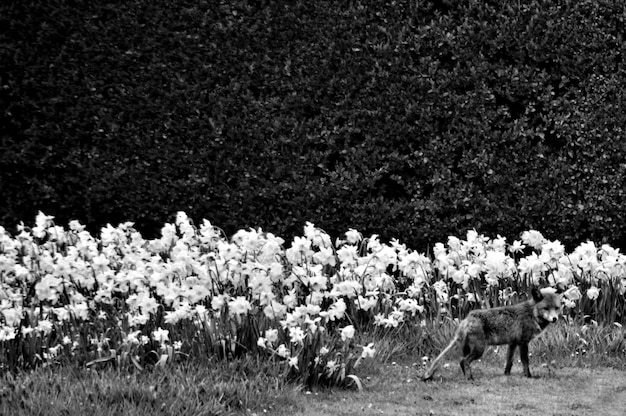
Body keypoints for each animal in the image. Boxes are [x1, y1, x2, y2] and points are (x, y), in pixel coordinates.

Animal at [422, 286, 560, 380]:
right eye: (546, 308)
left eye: (557, 308)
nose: (555, 319)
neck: (531, 313)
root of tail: (468, 318)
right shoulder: (523, 342)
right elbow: (525, 362)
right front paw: (528, 376)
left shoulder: (513, 343)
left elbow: (509, 361)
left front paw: (506, 375)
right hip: (479, 350)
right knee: (464, 361)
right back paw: (470, 378)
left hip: (469, 349)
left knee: (461, 361)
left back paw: (467, 376)